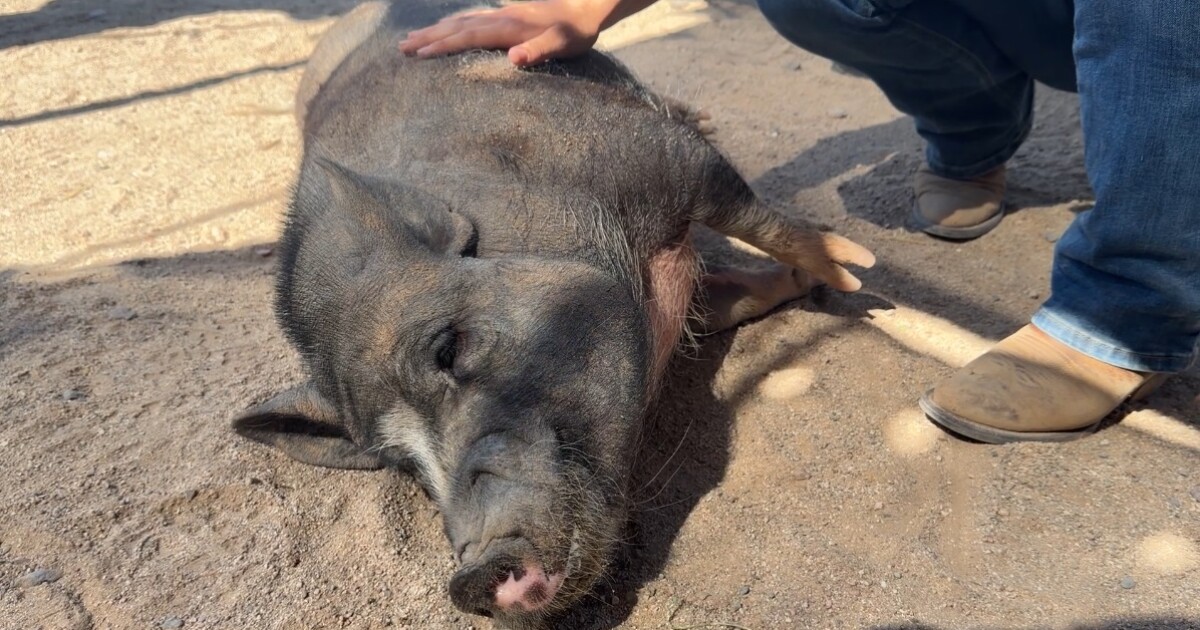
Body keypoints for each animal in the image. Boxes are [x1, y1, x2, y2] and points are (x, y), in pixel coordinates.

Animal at [231, 1, 874, 627]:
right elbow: (737, 295)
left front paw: (851, 274)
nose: (471, 575)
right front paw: (812, 284)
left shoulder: (665, 155)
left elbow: (761, 222)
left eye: (449, 350)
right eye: (403, 464)